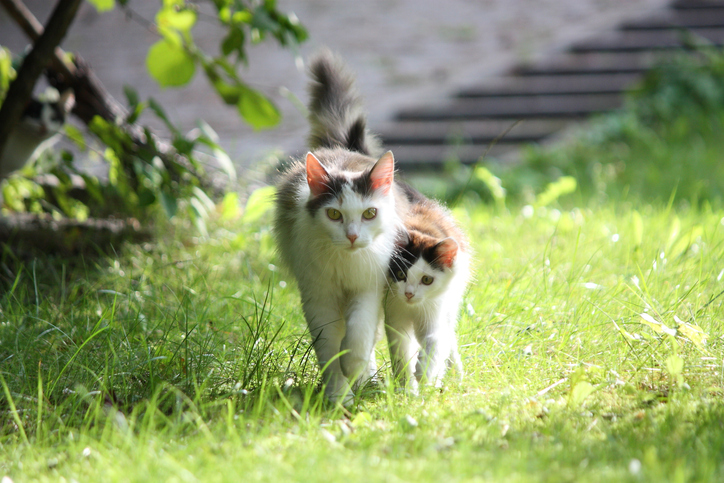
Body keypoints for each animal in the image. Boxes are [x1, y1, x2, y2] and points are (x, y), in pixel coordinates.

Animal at [272, 53, 408, 404]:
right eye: (334, 214)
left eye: (370, 213)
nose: (352, 236)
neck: (343, 264)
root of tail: (341, 148)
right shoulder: (317, 296)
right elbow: (329, 348)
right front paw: (338, 397)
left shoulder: (368, 286)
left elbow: (359, 332)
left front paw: (353, 366)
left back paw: (366, 376)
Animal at [384, 189, 470, 394]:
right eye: (401, 274)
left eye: (427, 280)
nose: (409, 294)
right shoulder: (393, 313)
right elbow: (401, 352)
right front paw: (406, 388)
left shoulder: (435, 308)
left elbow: (436, 340)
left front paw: (424, 372)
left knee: (448, 335)